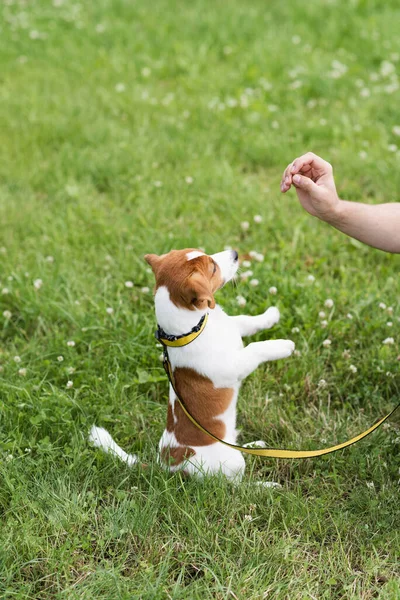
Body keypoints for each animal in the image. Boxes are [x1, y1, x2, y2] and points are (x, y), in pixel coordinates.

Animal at [90, 246, 294, 486]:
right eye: (213, 268)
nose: (235, 252)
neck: (194, 330)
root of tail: (168, 467)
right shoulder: (232, 367)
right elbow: (255, 348)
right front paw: (283, 345)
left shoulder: (234, 326)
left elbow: (246, 320)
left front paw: (271, 315)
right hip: (232, 464)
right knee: (235, 486)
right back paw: (266, 486)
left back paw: (256, 446)